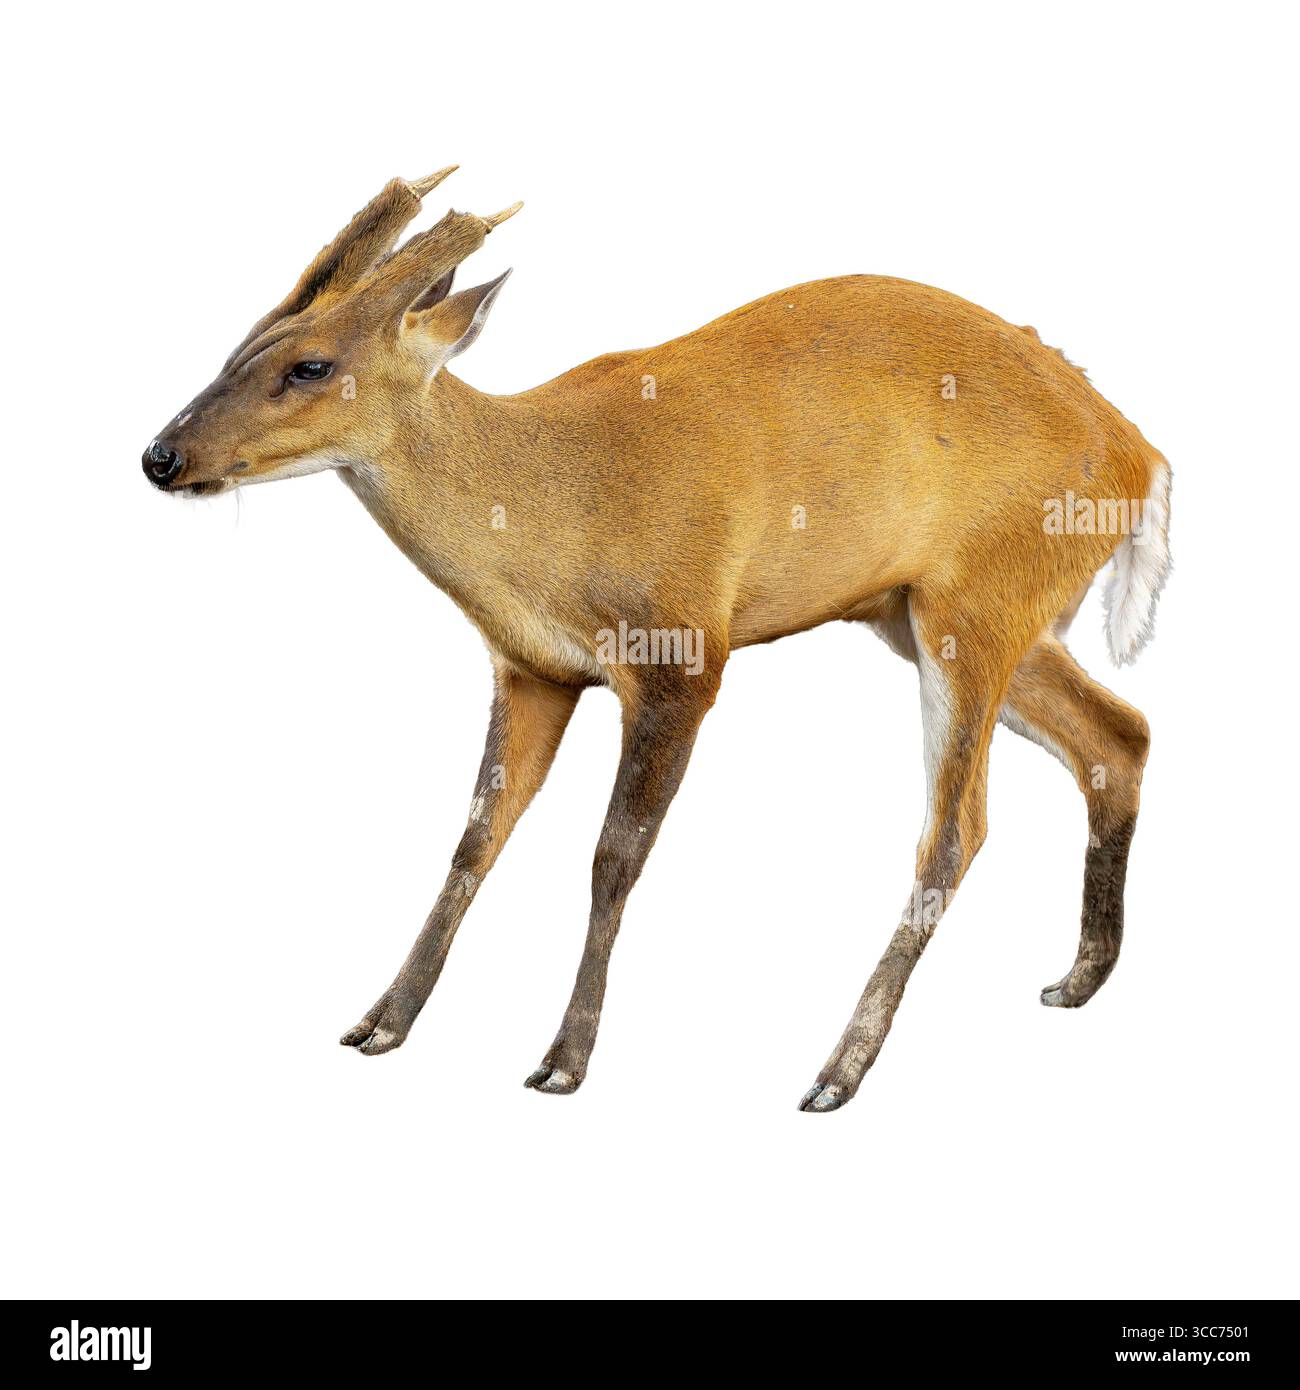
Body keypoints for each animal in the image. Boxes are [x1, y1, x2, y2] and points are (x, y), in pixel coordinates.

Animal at [143, 166, 1170, 1112]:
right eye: (242, 343)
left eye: (310, 366)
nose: (161, 456)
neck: (549, 515)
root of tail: (1143, 457)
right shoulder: (532, 670)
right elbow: (476, 836)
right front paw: (382, 1021)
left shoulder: (684, 653)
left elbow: (613, 856)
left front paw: (564, 1059)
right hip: (926, 611)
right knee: (1120, 733)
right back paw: (1078, 978)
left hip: (977, 600)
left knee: (955, 830)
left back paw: (837, 1071)